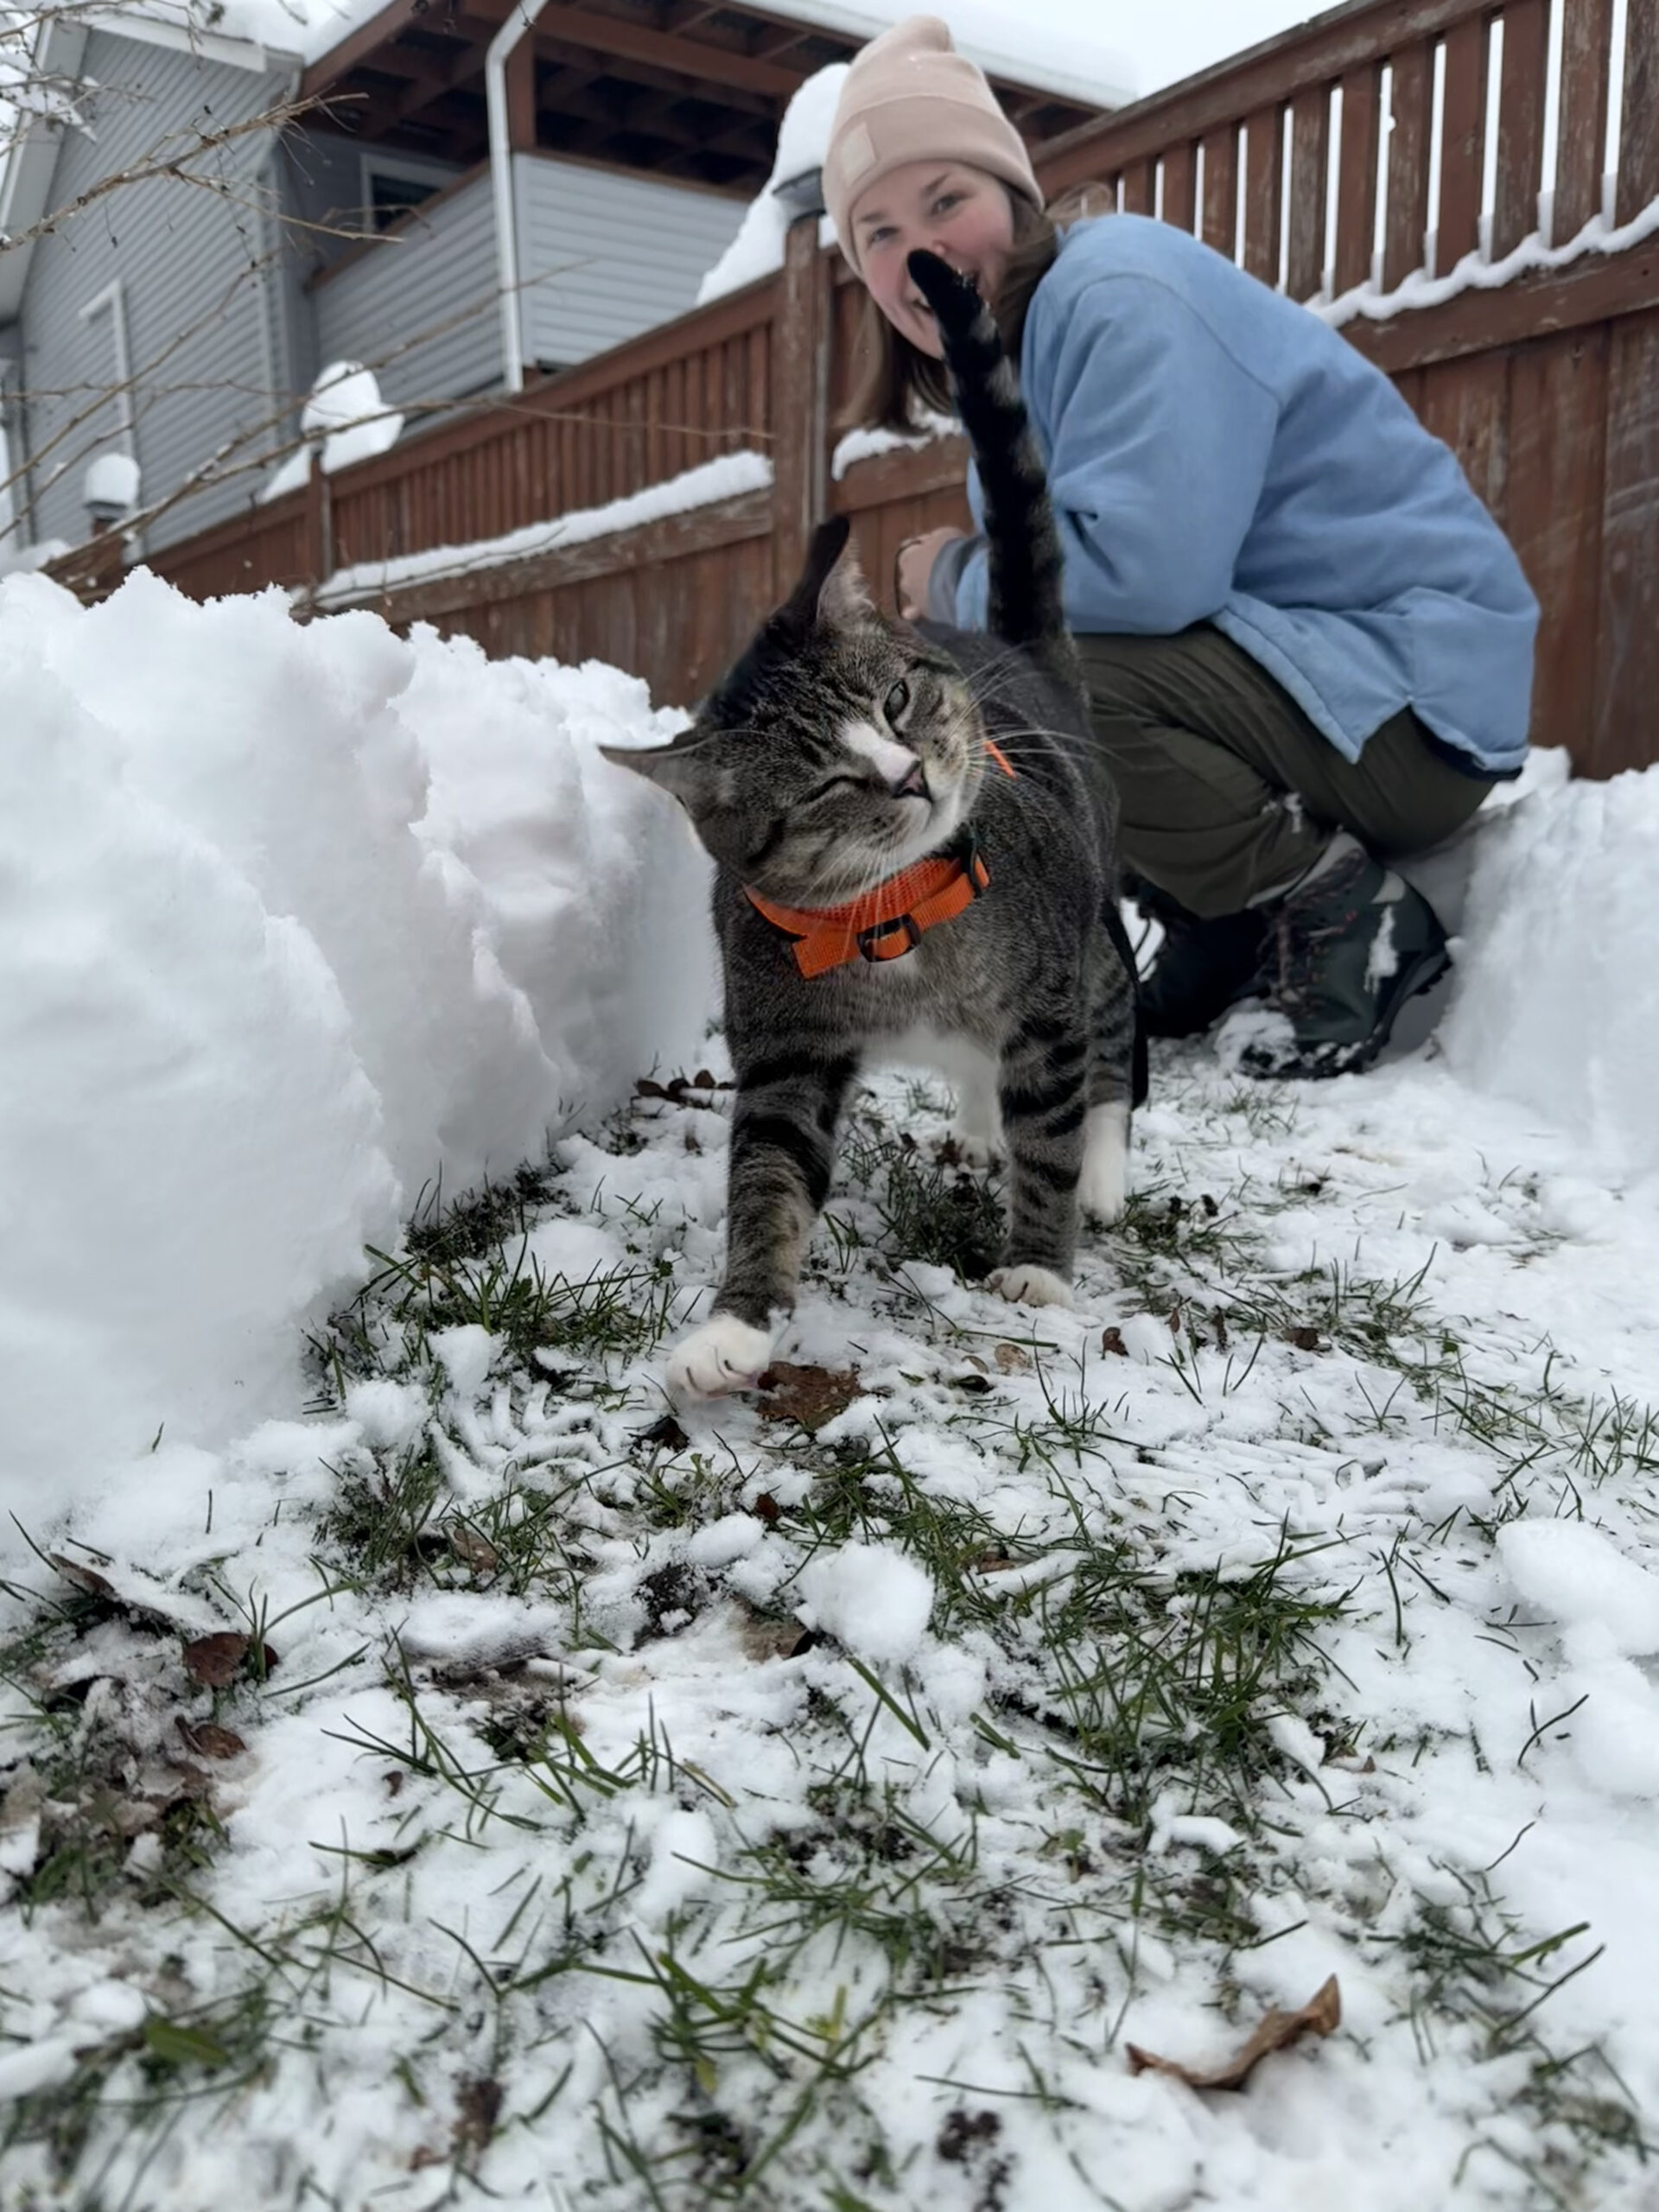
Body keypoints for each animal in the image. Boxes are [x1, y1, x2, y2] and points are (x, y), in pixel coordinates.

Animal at [606, 251, 1141, 1389]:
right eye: (820, 785)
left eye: (895, 700)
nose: (908, 779)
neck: (896, 916)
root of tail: (1022, 650)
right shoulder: (784, 1046)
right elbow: (768, 1177)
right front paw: (735, 1325)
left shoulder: (1050, 996)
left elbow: (1051, 1133)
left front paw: (1040, 1269)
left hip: (1098, 932)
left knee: (1111, 1054)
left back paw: (1105, 1167)